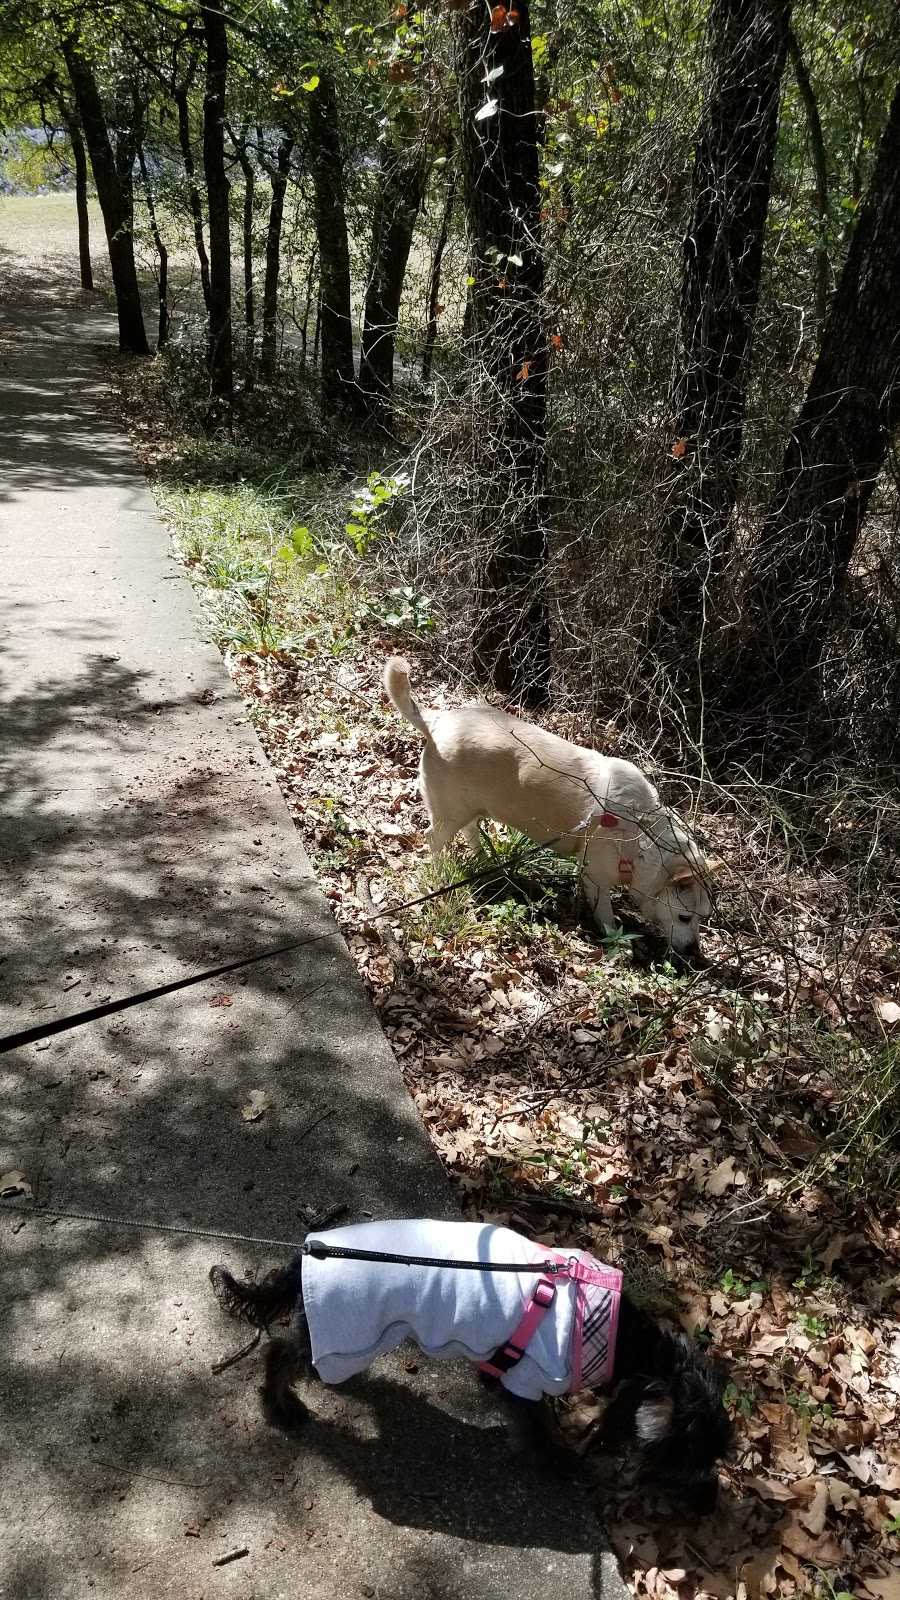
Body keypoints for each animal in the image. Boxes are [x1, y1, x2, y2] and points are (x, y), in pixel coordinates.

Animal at [209, 1216, 730, 1516]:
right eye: (687, 1462)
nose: (711, 1506)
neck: (620, 1338)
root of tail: (303, 1257)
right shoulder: (526, 1378)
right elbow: (537, 1428)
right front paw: (557, 1461)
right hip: (344, 1333)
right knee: (282, 1356)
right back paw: (280, 1407)